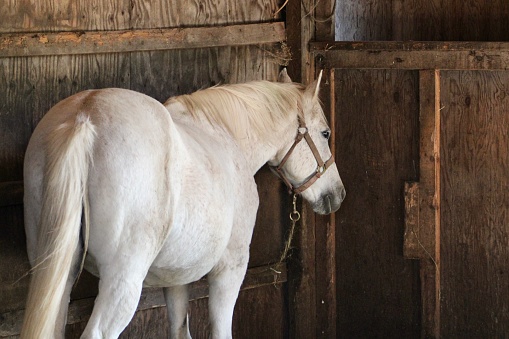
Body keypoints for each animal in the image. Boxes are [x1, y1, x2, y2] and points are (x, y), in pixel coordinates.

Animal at [20, 69, 346, 339]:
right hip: (123, 281)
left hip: (56, 274)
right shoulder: (231, 267)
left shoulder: (175, 278)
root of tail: (84, 117)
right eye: (325, 132)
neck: (226, 136)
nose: (338, 194)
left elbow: (179, 330)